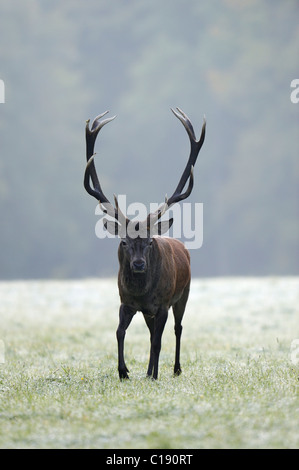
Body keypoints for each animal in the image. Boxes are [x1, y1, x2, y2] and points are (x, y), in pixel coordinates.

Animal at [84, 108, 206, 380]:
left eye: (150, 241)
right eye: (124, 241)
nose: (139, 264)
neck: (142, 292)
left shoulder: (161, 304)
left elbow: (159, 342)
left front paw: (153, 375)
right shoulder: (126, 302)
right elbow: (120, 332)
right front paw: (124, 371)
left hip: (184, 293)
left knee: (178, 328)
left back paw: (175, 369)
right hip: (150, 312)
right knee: (152, 335)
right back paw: (150, 370)